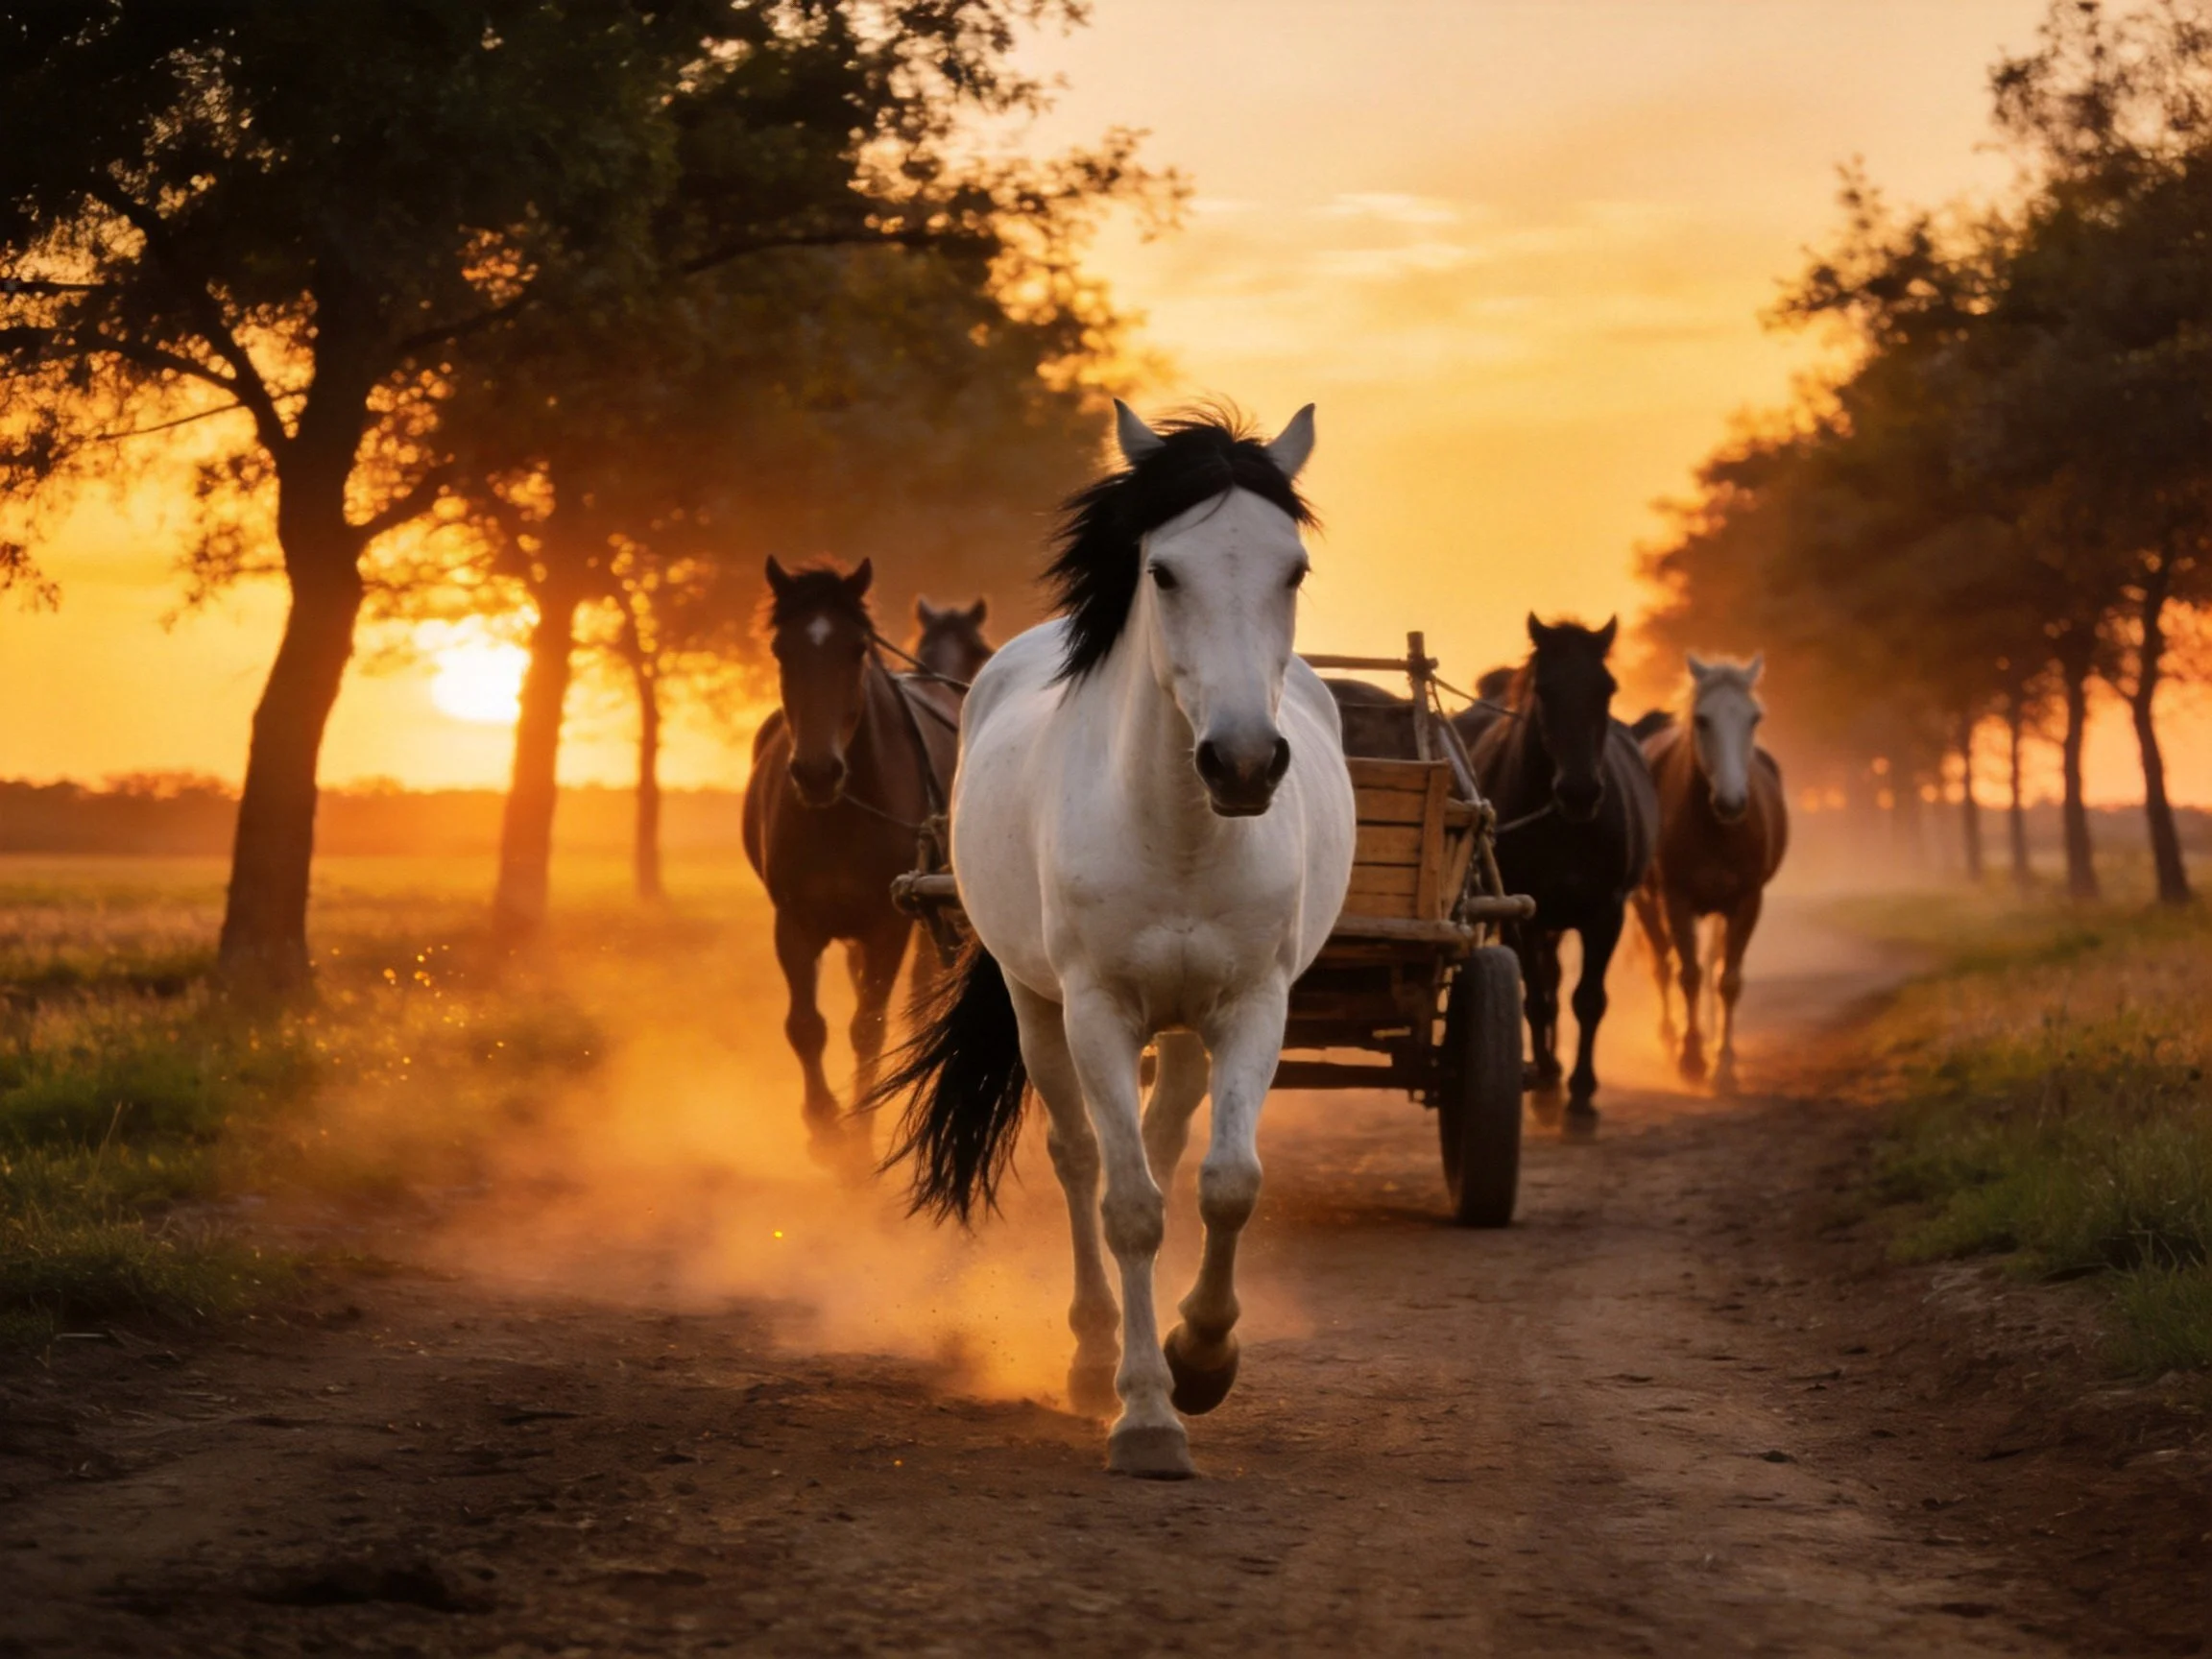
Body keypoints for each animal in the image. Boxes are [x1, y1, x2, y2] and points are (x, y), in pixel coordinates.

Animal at [743, 558, 962, 1167]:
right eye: (781, 648)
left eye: (857, 648)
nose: (817, 772)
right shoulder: (794, 922)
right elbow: (805, 1026)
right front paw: (823, 1126)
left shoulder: (889, 925)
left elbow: (869, 1026)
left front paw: (859, 1137)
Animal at [870, 400, 1355, 1479]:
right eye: (1163, 572)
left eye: (1295, 570)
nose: (1243, 763)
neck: (1176, 830)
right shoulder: (1096, 1010)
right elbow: (1126, 1202)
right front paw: (1143, 1415)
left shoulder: (1252, 1006)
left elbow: (1227, 1184)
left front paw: (1202, 1357)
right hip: (1038, 1006)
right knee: (1082, 1157)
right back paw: (1095, 1357)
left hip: (1184, 1029)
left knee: (1170, 1145)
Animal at [1470, 616, 1657, 1130]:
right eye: (1545, 689)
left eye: (1606, 688)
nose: (1580, 792)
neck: (1560, 823)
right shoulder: (1521, 912)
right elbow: (1536, 999)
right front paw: (1550, 1091)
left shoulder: (1605, 914)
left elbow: (1588, 1000)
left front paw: (1581, 1098)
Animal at [1630, 654, 1789, 1095]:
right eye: (1702, 719)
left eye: (1754, 718)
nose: (1732, 802)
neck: (1716, 829)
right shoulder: (1677, 899)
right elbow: (1688, 974)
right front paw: (1692, 1059)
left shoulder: (1747, 901)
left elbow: (1727, 979)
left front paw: (1725, 1065)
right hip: (1646, 902)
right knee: (1662, 963)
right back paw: (1670, 1039)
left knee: (1713, 960)